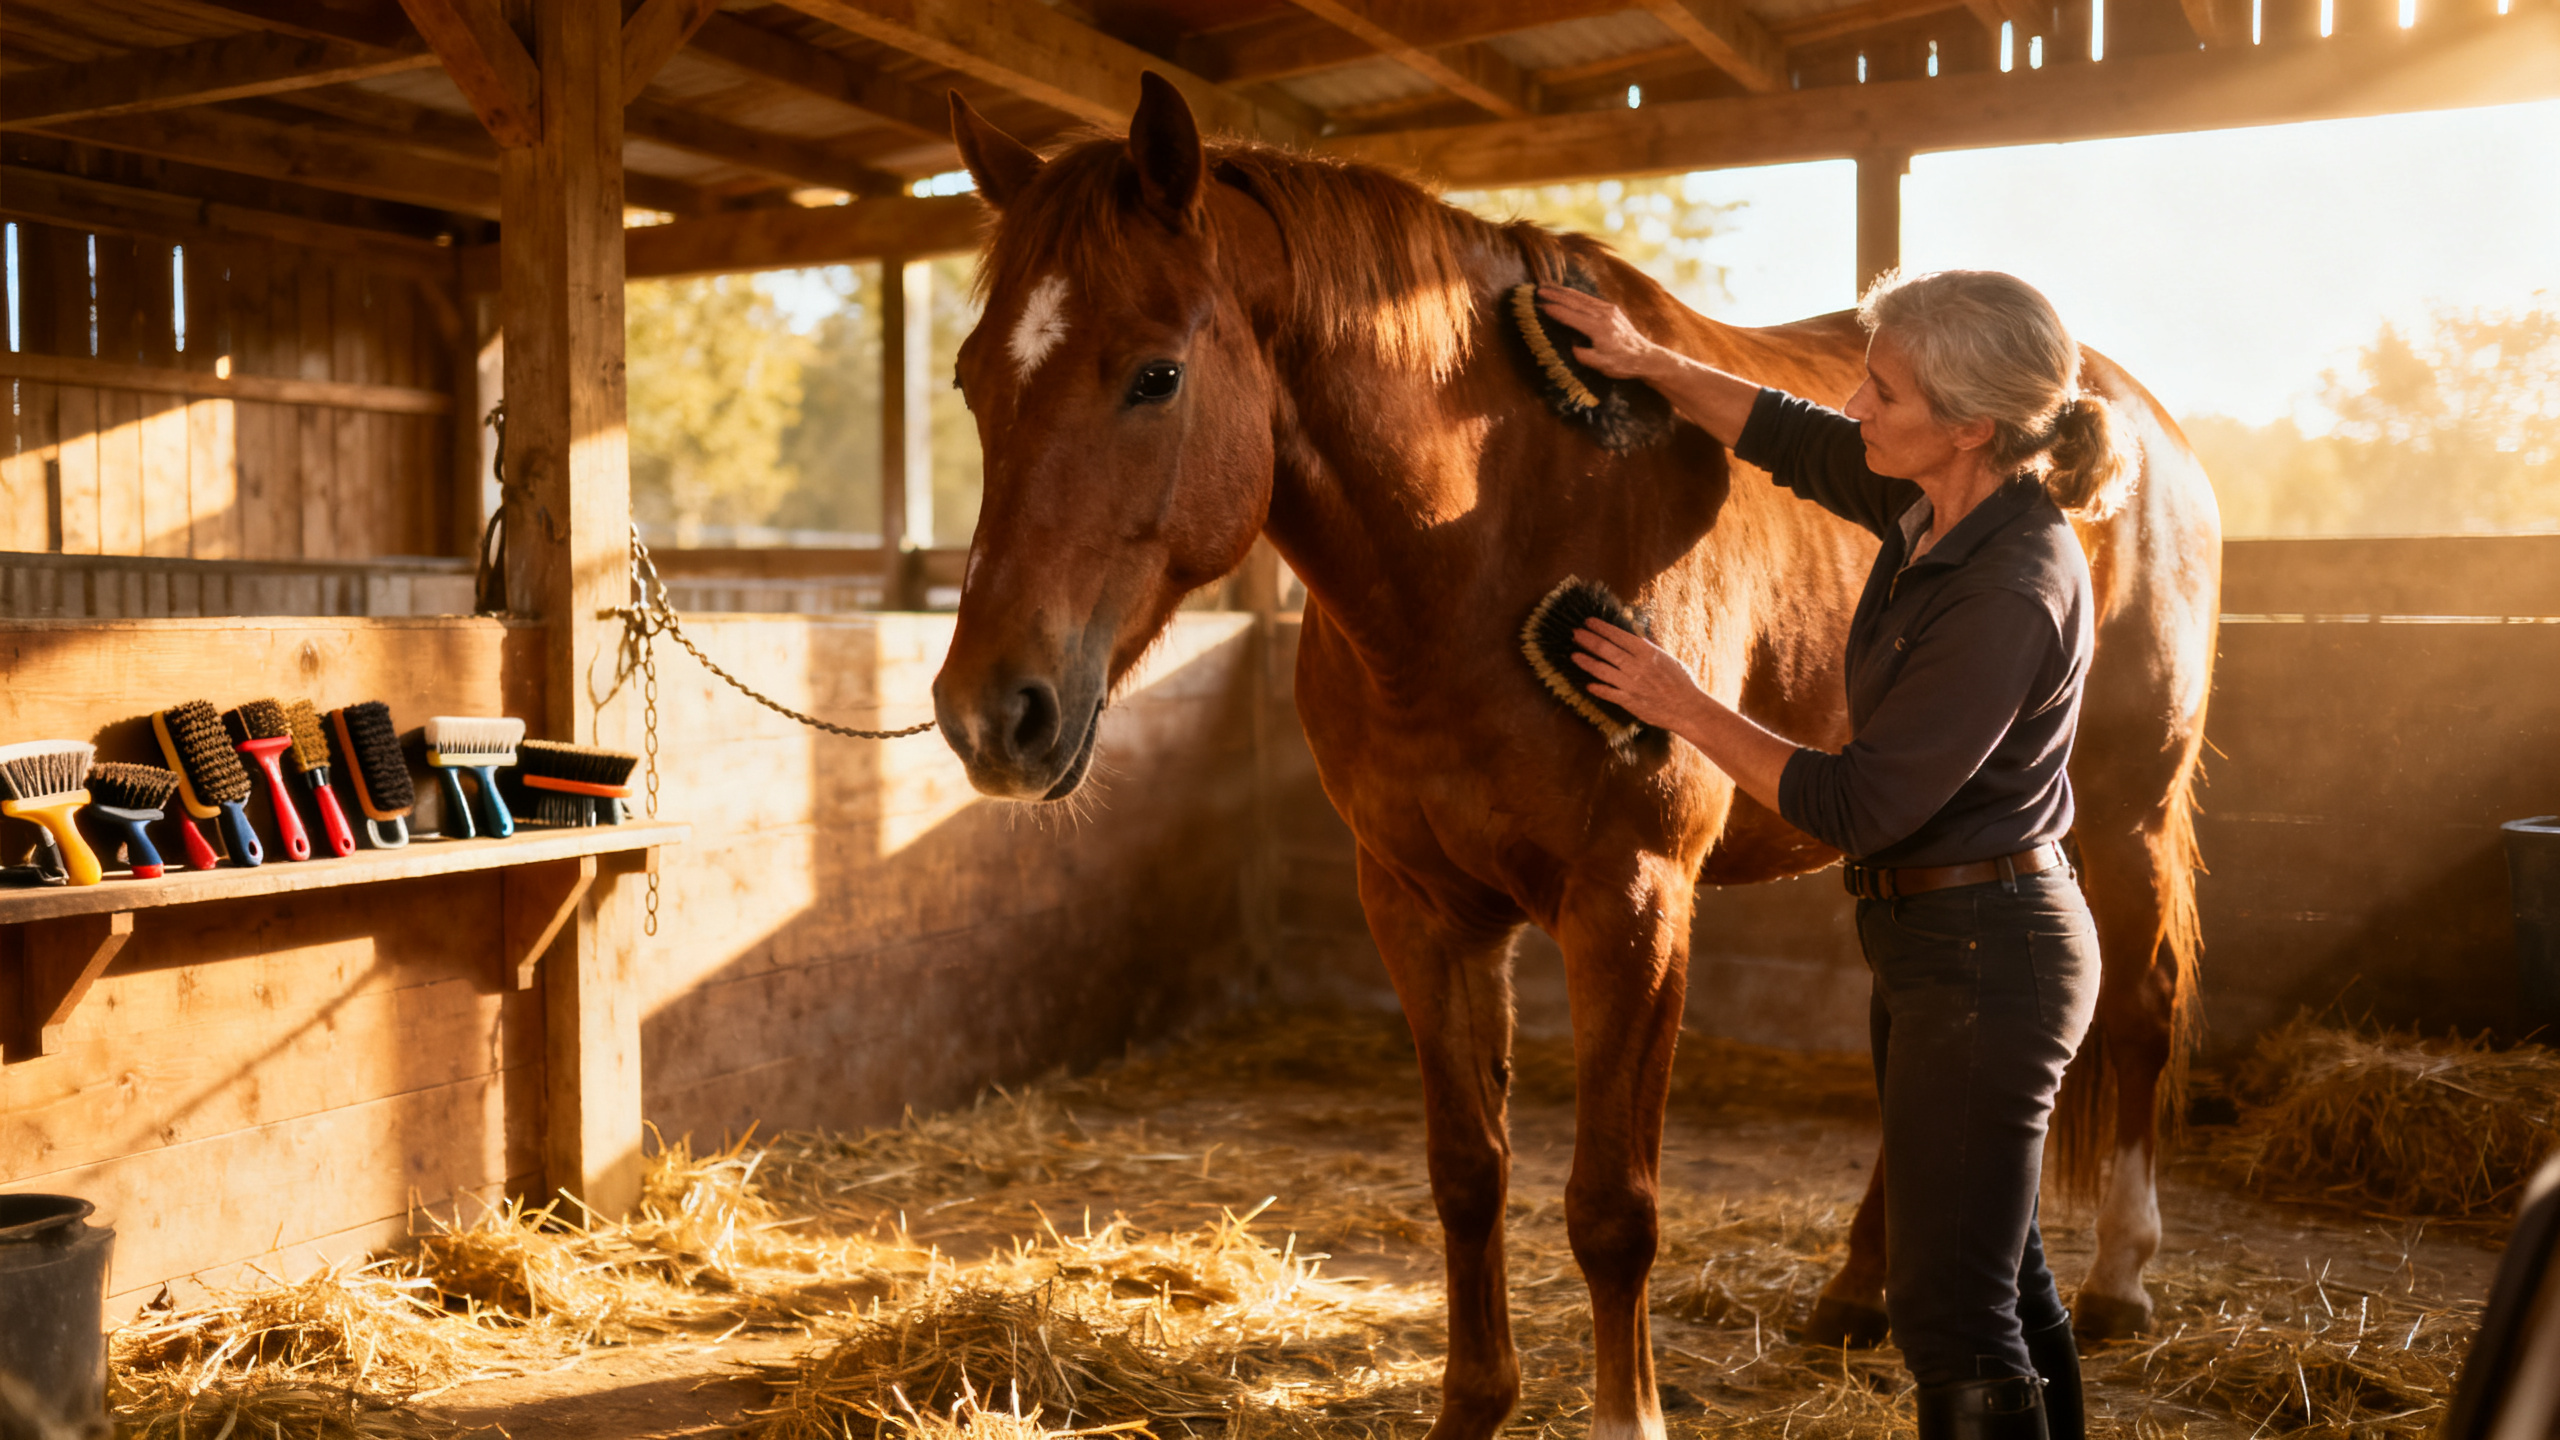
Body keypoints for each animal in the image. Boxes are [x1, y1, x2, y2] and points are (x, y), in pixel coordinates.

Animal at [930, 73, 2219, 1440]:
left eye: (1156, 375)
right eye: (970, 381)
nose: (990, 714)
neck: (1490, 537)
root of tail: (2135, 422)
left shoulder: (1630, 906)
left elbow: (1611, 1208)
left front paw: (1624, 1413)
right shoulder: (1421, 906)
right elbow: (1466, 1172)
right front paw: (1469, 1405)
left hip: (2124, 815)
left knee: (2135, 1007)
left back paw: (2121, 1277)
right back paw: (1856, 1294)